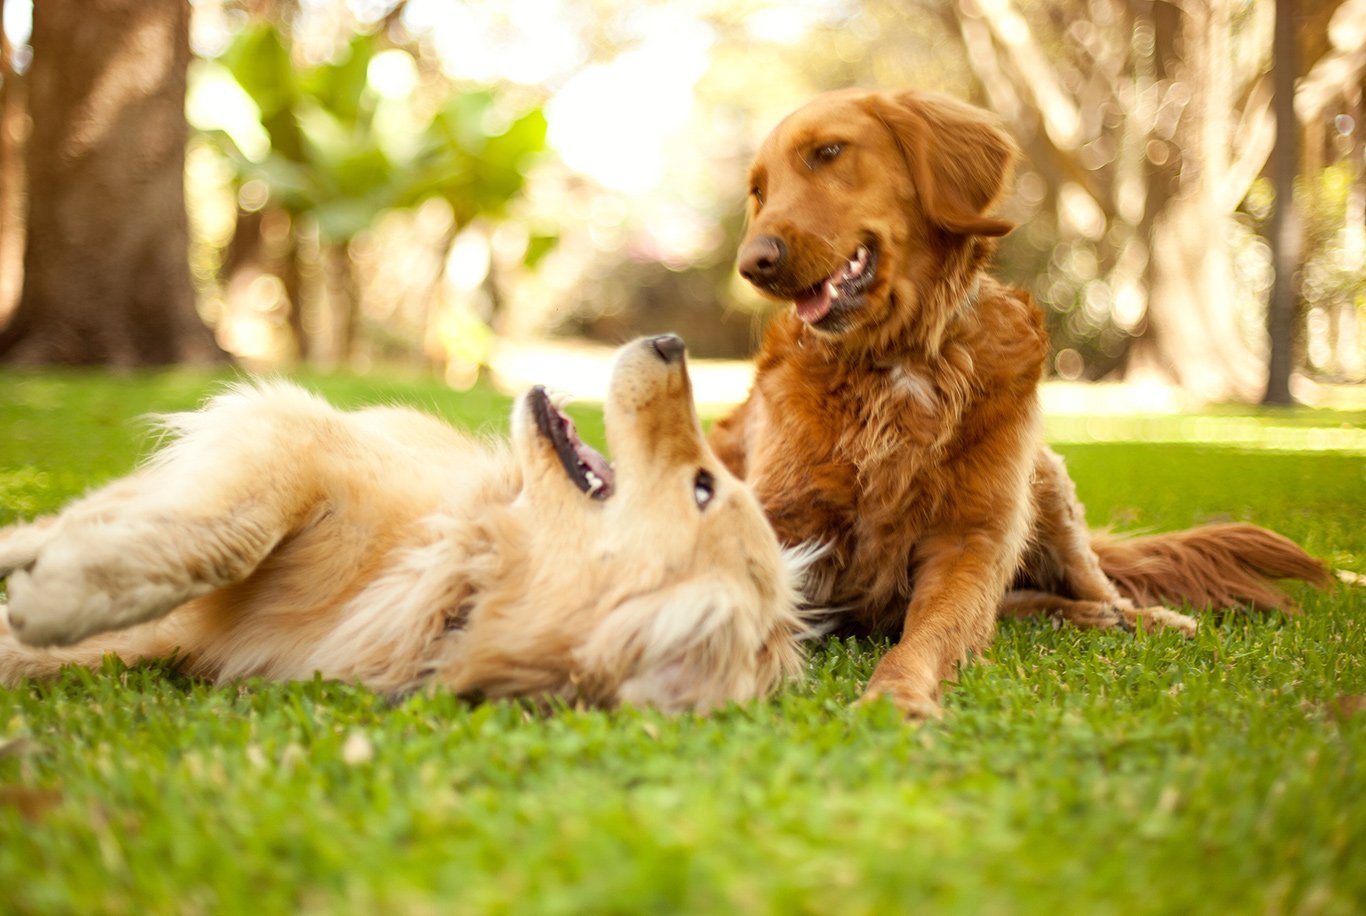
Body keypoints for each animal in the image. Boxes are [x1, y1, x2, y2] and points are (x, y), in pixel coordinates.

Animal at [0, 333, 808, 715]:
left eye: (704, 487)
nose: (671, 343)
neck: (462, 573)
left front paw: (43, 608)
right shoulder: (296, 437)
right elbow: (230, 536)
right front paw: (61, 598)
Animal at [710, 91, 1327, 726]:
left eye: (828, 152)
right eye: (758, 191)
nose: (752, 263)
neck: (898, 361)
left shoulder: (971, 539)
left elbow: (928, 635)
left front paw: (895, 696)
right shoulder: (778, 521)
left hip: (1045, 485)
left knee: (1091, 583)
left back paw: (1136, 615)